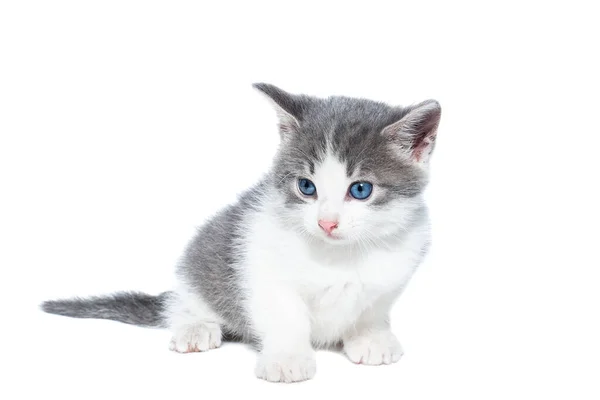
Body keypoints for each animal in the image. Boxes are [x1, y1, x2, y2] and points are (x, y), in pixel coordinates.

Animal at [41, 83, 440, 382]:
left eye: (360, 190)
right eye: (306, 187)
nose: (326, 222)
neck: (340, 254)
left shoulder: (399, 265)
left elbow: (373, 305)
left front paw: (370, 337)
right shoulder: (257, 257)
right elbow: (283, 312)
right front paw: (287, 357)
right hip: (199, 265)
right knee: (180, 302)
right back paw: (195, 327)